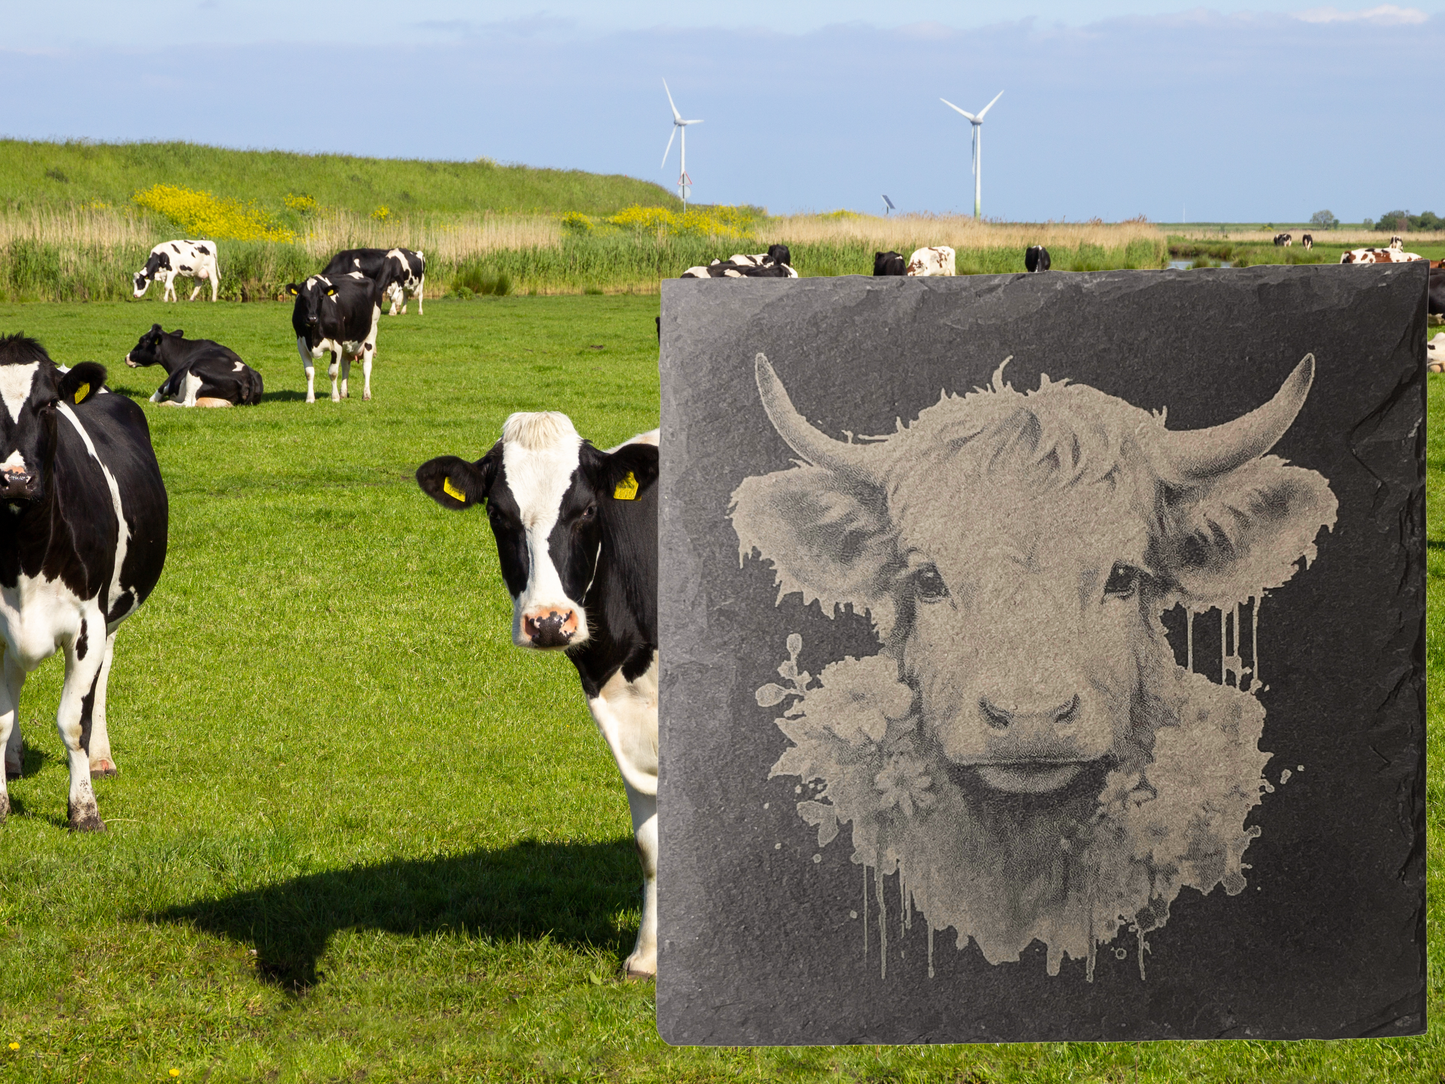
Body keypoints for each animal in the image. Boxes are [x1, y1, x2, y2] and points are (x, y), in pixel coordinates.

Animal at [0, 334, 168, 832]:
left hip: (109, 616)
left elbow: (74, 721)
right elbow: (0, 719)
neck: (25, 550)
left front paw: (84, 810)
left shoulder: (87, 625)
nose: (16, 480)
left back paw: (100, 758)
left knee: (102, 680)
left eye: (48, 405)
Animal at [124, 325, 263, 408]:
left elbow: (154, 396)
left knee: (188, 404)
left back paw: (167, 403)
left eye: (142, 341)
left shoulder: (169, 380)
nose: (126, 358)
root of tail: (248, 377)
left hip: (194, 371)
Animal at [286, 273, 382, 403]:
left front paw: (335, 397)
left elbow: (333, 372)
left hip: (371, 333)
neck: (313, 335)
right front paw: (310, 398)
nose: (311, 318)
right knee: (346, 367)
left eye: (321, 297)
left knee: (366, 367)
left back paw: (366, 394)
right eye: (302, 297)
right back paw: (343, 393)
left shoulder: (336, 343)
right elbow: (309, 372)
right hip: (347, 345)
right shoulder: (301, 343)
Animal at [415, 414, 660, 978]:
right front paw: (647, 957)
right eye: (497, 513)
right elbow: (650, 847)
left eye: (588, 509)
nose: (549, 622)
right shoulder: (628, 722)